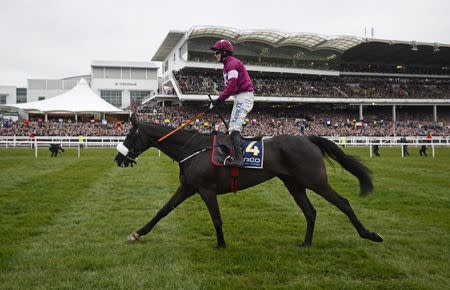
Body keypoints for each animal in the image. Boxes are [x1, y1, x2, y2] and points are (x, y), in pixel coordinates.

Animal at [114, 114, 382, 248]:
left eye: (130, 135)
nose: (118, 158)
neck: (193, 150)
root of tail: (308, 139)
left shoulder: (206, 190)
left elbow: (217, 219)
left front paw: (221, 245)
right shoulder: (188, 187)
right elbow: (162, 211)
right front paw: (137, 233)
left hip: (315, 181)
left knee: (343, 202)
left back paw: (369, 234)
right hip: (294, 184)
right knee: (310, 211)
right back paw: (306, 243)